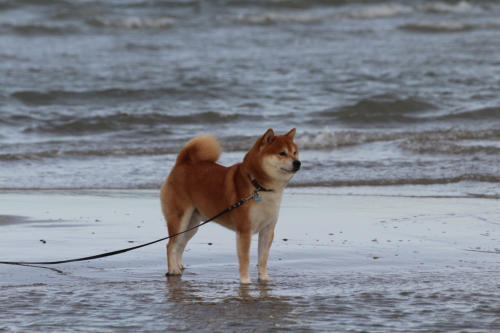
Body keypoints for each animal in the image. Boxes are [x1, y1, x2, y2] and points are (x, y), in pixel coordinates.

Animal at [160, 128, 300, 282]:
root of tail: (181, 163)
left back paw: (179, 265)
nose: (298, 163)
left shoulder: (267, 230)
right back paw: (173, 269)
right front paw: (245, 281)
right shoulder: (244, 230)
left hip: (192, 225)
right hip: (180, 219)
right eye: (282, 153)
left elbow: (263, 258)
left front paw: (264, 277)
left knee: (180, 245)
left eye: (294, 152)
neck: (259, 186)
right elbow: (245, 259)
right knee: (170, 245)